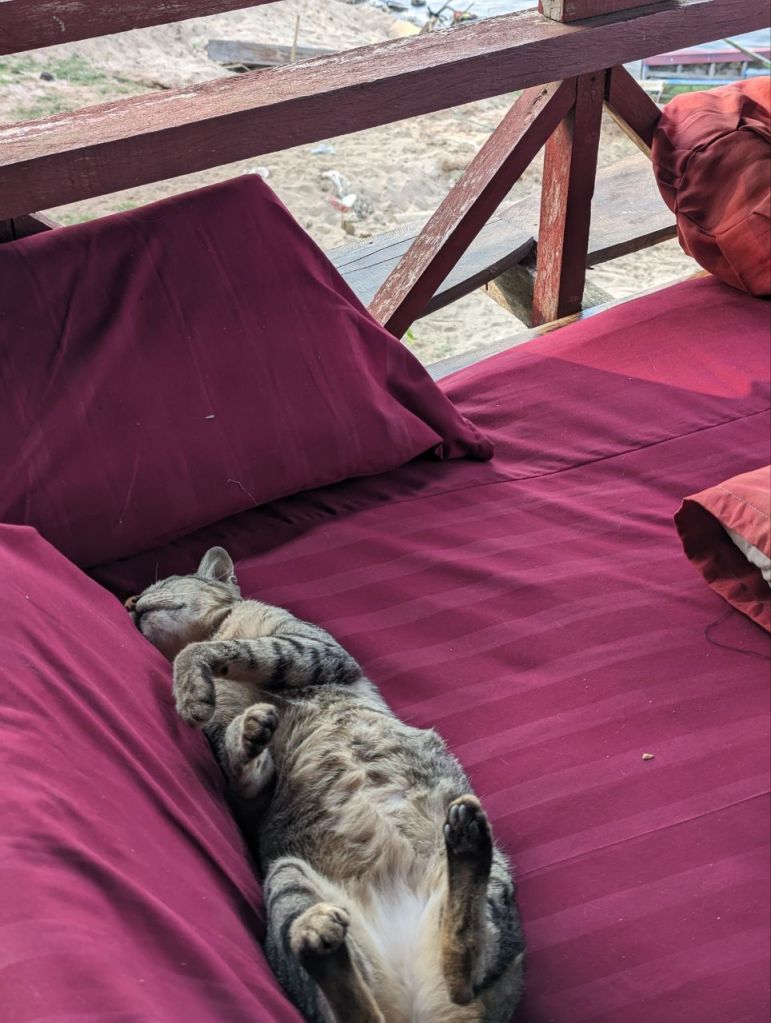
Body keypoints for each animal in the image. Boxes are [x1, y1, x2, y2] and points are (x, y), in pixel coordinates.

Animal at [126, 546, 525, 1023]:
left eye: (160, 583)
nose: (128, 603)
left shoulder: (314, 647)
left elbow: (221, 649)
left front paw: (191, 688)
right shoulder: (246, 785)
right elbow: (240, 759)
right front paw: (245, 728)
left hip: (496, 884)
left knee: (462, 969)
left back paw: (465, 845)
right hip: (287, 878)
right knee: (363, 1009)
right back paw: (320, 939)